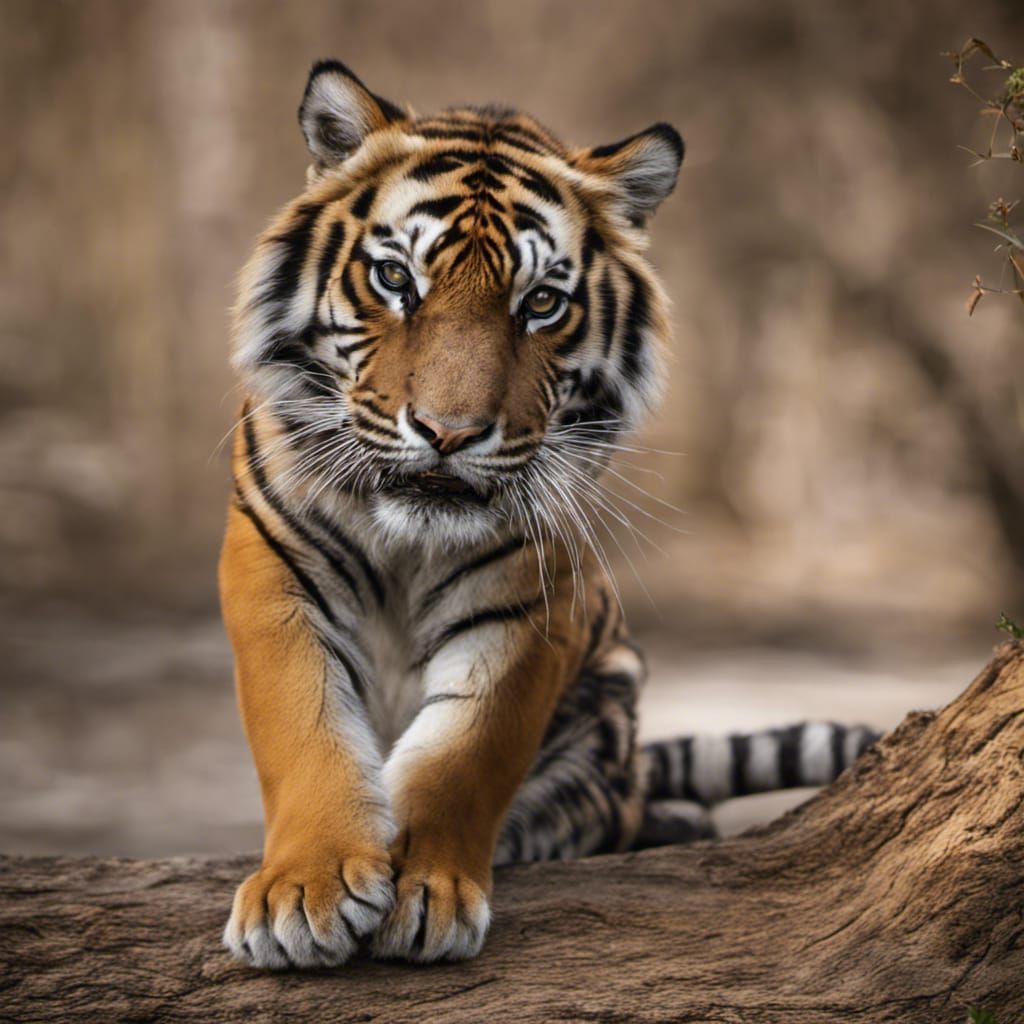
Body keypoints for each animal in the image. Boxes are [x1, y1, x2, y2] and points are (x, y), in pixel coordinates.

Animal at [220, 59, 880, 970]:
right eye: (395, 279)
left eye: (539, 303)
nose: (449, 433)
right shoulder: (275, 569)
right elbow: (301, 724)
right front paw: (305, 892)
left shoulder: (531, 605)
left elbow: (464, 753)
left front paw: (425, 893)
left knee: (613, 807)